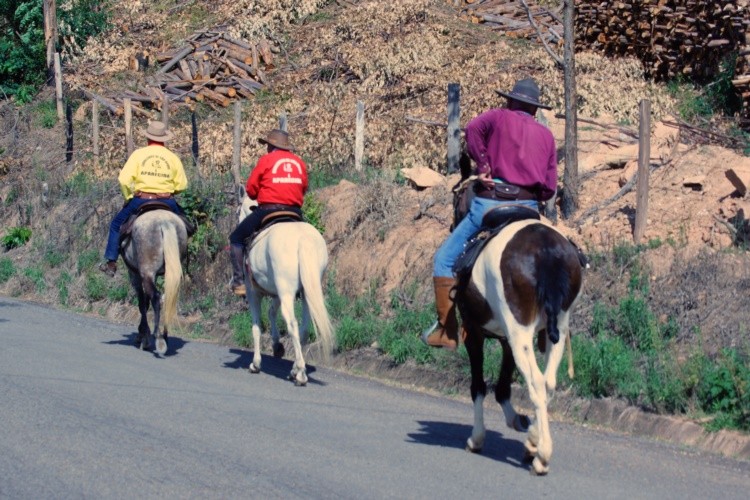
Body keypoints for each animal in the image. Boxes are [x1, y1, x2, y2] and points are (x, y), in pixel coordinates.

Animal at [121, 207, 189, 356]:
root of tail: (164, 222)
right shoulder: (154, 275)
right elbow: (146, 302)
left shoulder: (135, 275)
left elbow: (142, 304)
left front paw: (143, 336)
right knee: (168, 297)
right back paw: (165, 337)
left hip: (146, 272)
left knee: (156, 298)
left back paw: (158, 339)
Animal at [239, 193, 336, 384]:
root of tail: (303, 239)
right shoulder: (276, 293)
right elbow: (271, 313)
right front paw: (277, 346)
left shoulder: (253, 292)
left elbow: (256, 326)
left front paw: (256, 363)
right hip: (306, 292)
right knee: (304, 329)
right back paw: (295, 368)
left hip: (286, 292)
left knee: (292, 324)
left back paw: (300, 373)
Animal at [452, 217, 588, 474]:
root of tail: (546, 249)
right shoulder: (506, 339)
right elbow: (503, 385)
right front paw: (523, 426)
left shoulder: (474, 332)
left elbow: (479, 386)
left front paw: (477, 438)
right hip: (558, 326)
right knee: (549, 382)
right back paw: (534, 443)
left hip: (520, 332)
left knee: (536, 381)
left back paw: (542, 456)